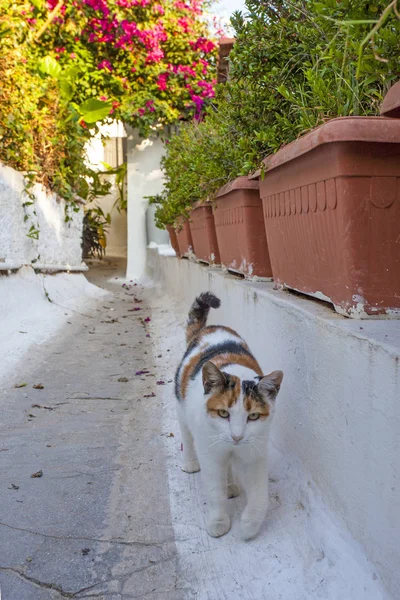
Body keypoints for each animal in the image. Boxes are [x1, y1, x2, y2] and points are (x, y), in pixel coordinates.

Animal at [176, 292, 284, 540]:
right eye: (223, 413)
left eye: (253, 416)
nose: (236, 437)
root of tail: (209, 328)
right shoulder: (210, 453)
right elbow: (214, 492)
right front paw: (219, 521)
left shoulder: (255, 453)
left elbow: (260, 495)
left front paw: (250, 525)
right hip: (182, 409)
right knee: (186, 435)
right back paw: (191, 462)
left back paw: (231, 485)